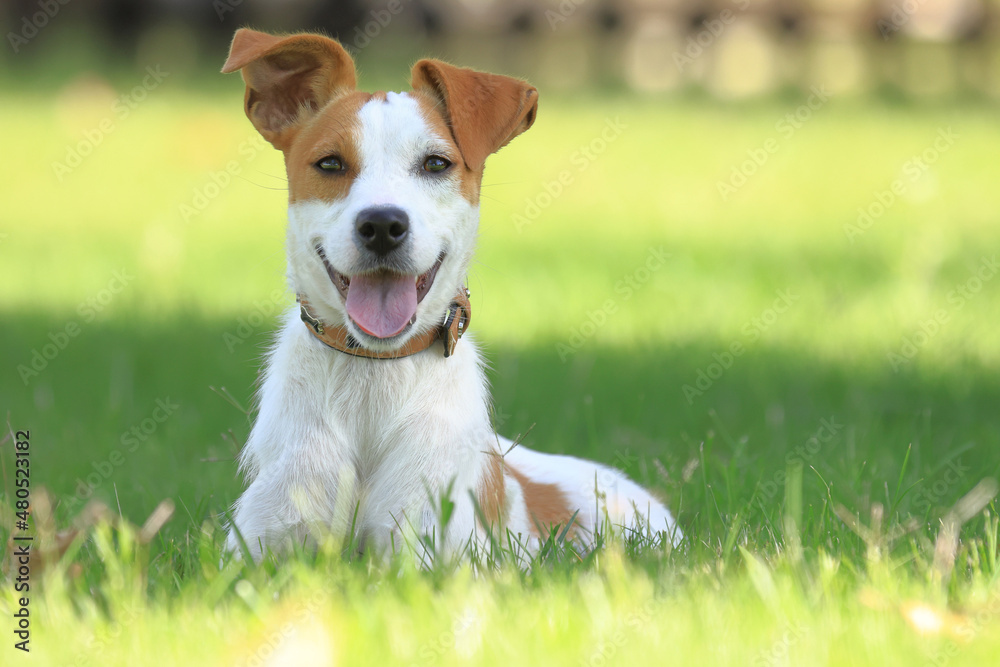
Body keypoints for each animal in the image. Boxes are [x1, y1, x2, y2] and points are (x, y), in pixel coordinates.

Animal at [223, 28, 684, 560]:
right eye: (330, 163)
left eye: (436, 163)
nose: (382, 225)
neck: (374, 379)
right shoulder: (262, 547)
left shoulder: (429, 549)